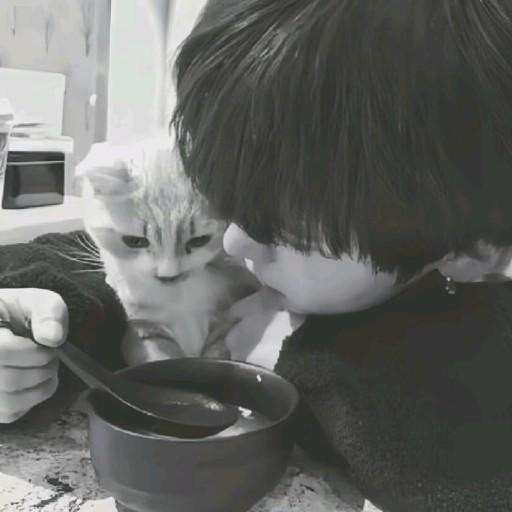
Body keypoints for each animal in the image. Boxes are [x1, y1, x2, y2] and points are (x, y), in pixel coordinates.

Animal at [76, 136, 260, 366]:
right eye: (135, 241)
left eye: (199, 241)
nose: (168, 276)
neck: (179, 296)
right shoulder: (144, 326)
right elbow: (160, 356)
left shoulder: (230, 305)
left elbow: (218, 346)